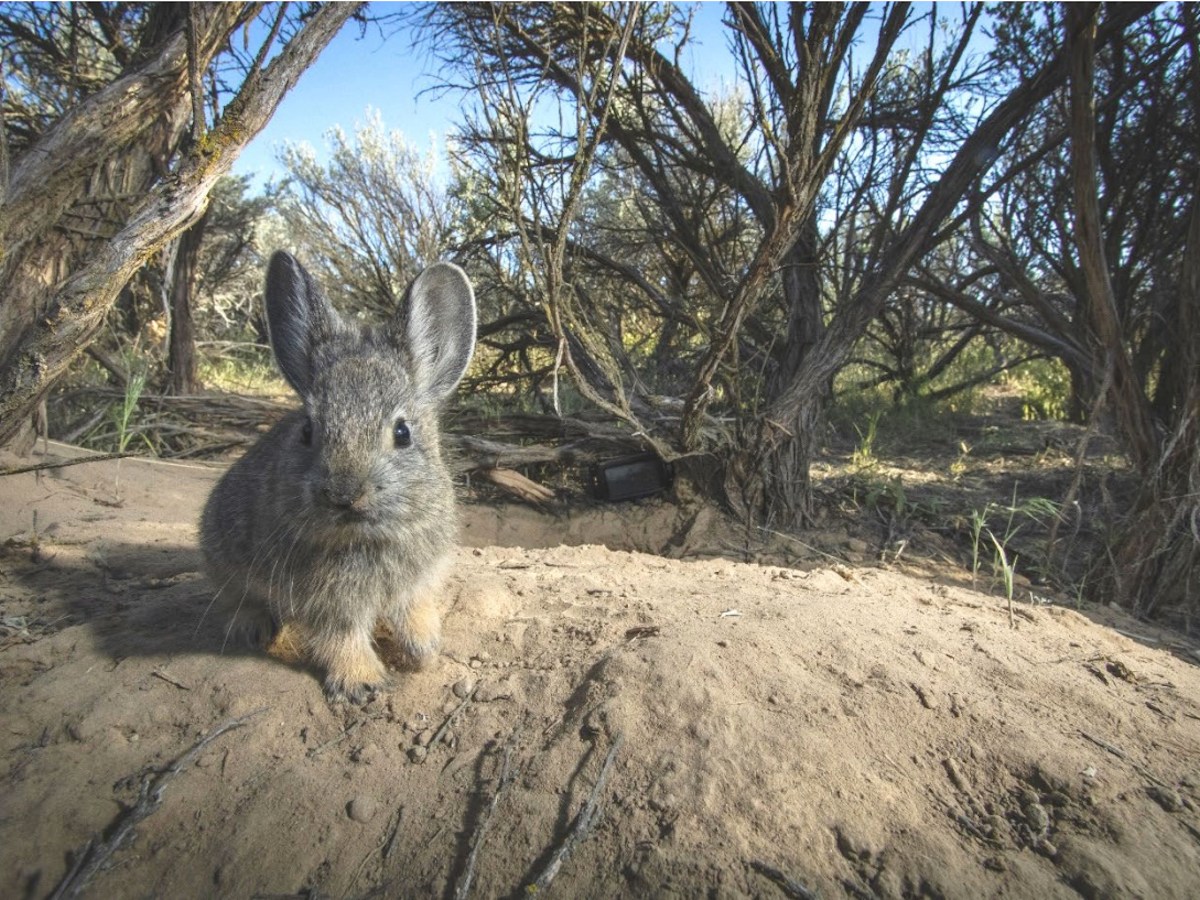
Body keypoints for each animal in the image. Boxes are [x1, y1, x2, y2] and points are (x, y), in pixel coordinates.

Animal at [200, 251, 476, 703]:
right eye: (308, 431)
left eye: (403, 433)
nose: (344, 494)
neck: (365, 538)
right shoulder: (327, 604)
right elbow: (341, 638)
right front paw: (361, 682)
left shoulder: (417, 584)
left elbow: (416, 613)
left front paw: (424, 652)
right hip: (221, 555)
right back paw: (253, 628)